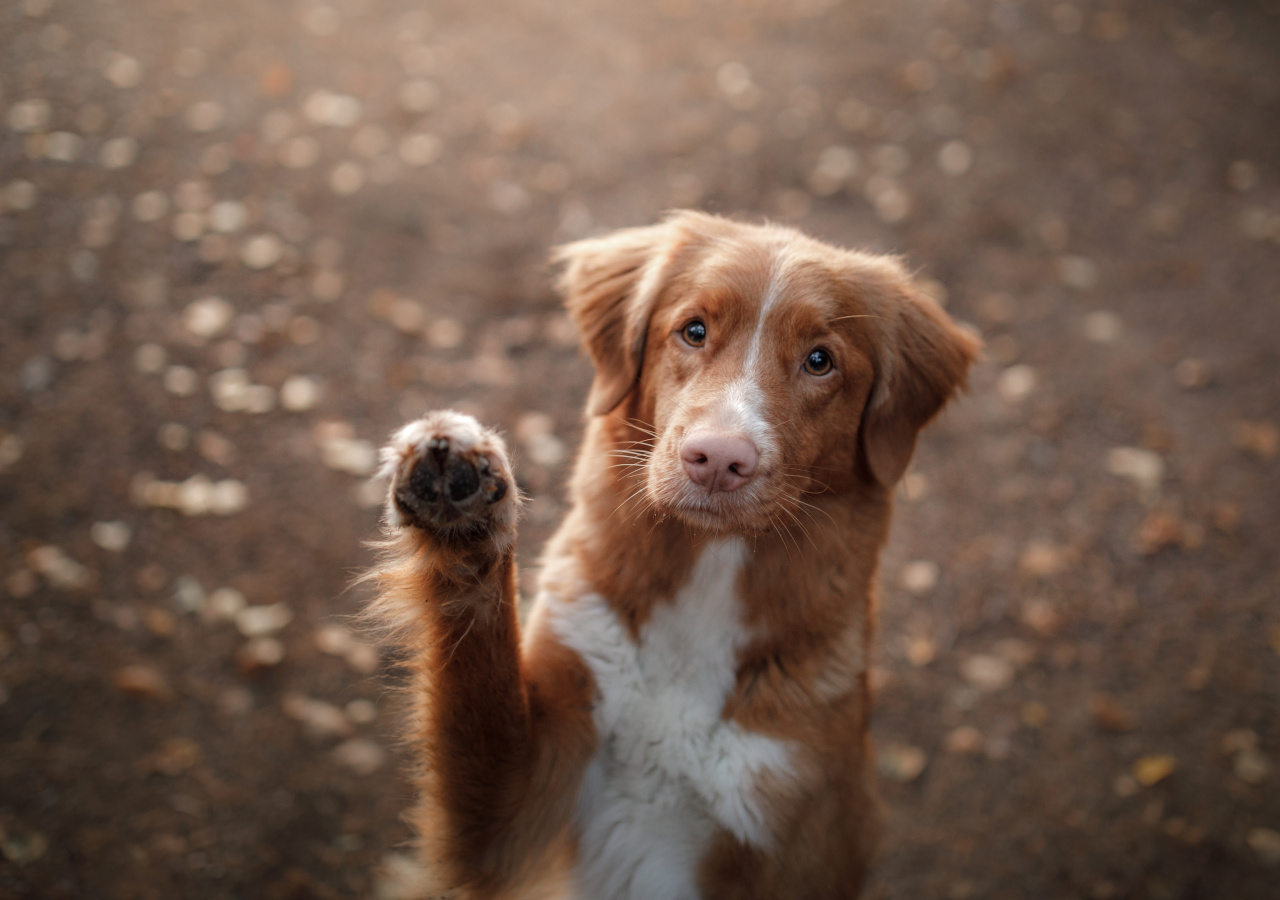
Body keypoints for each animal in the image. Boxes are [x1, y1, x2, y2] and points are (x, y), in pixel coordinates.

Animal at [368, 207, 977, 896]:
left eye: (820, 361)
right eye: (693, 330)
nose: (717, 458)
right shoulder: (513, 814)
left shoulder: (785, 827)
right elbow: (476, 673)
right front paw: (462, 507)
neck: (706, 581)